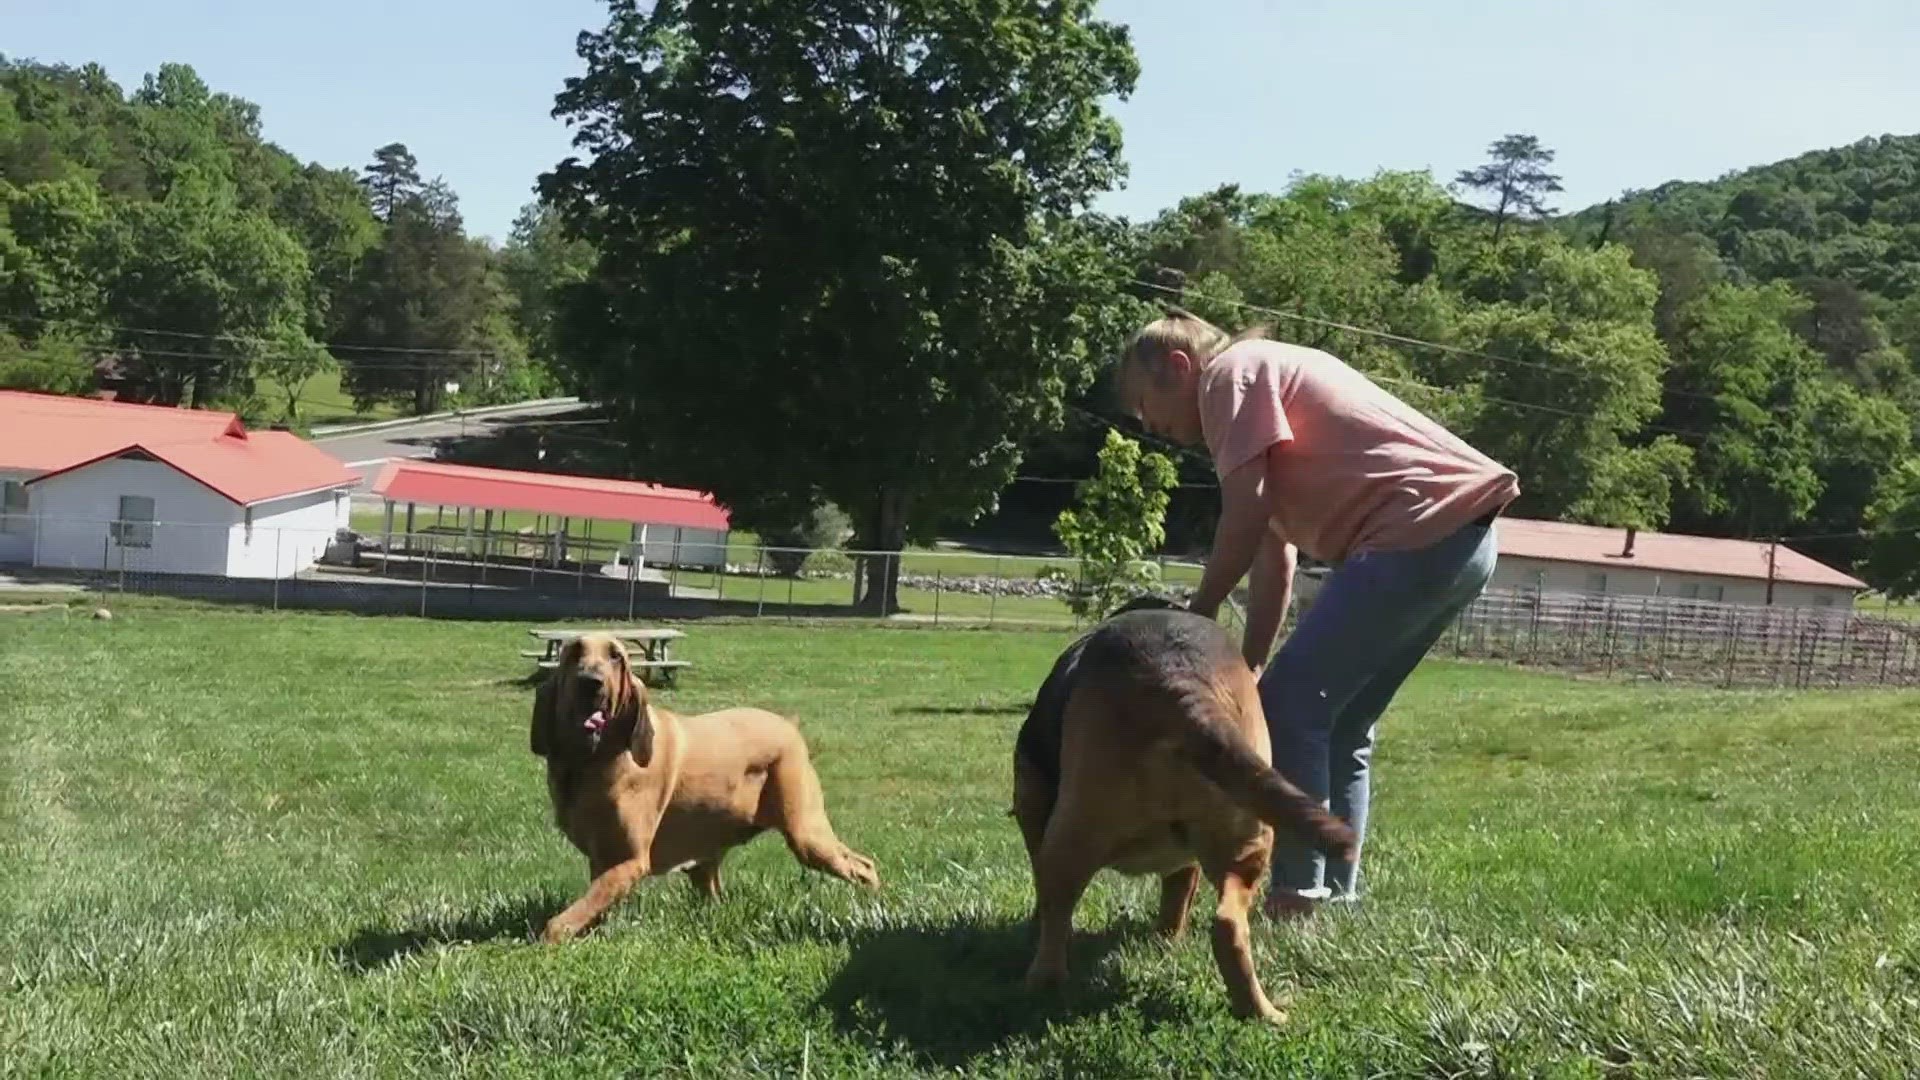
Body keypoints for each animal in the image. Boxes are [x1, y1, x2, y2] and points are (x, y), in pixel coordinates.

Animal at [533, 630, 879, 941]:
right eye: (574, 652)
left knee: (864, 866)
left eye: (616, 656)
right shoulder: (602, 859)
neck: (591, 761)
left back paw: (873, 906)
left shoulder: (629, 861)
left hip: (807, 836)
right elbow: (593, 907)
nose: (590, 681)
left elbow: (562, 922)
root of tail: (789, 726)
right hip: (710, 854)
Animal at [1013, 595, 1359, 1014]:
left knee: (1056, 918)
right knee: (1228, 925)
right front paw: (1166, 941)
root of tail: (1178, 678)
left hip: (1072, 838)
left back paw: (1041, 985)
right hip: (1248, 838)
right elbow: (1177, 900)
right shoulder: (1188, 862)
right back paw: (1263, 1012)